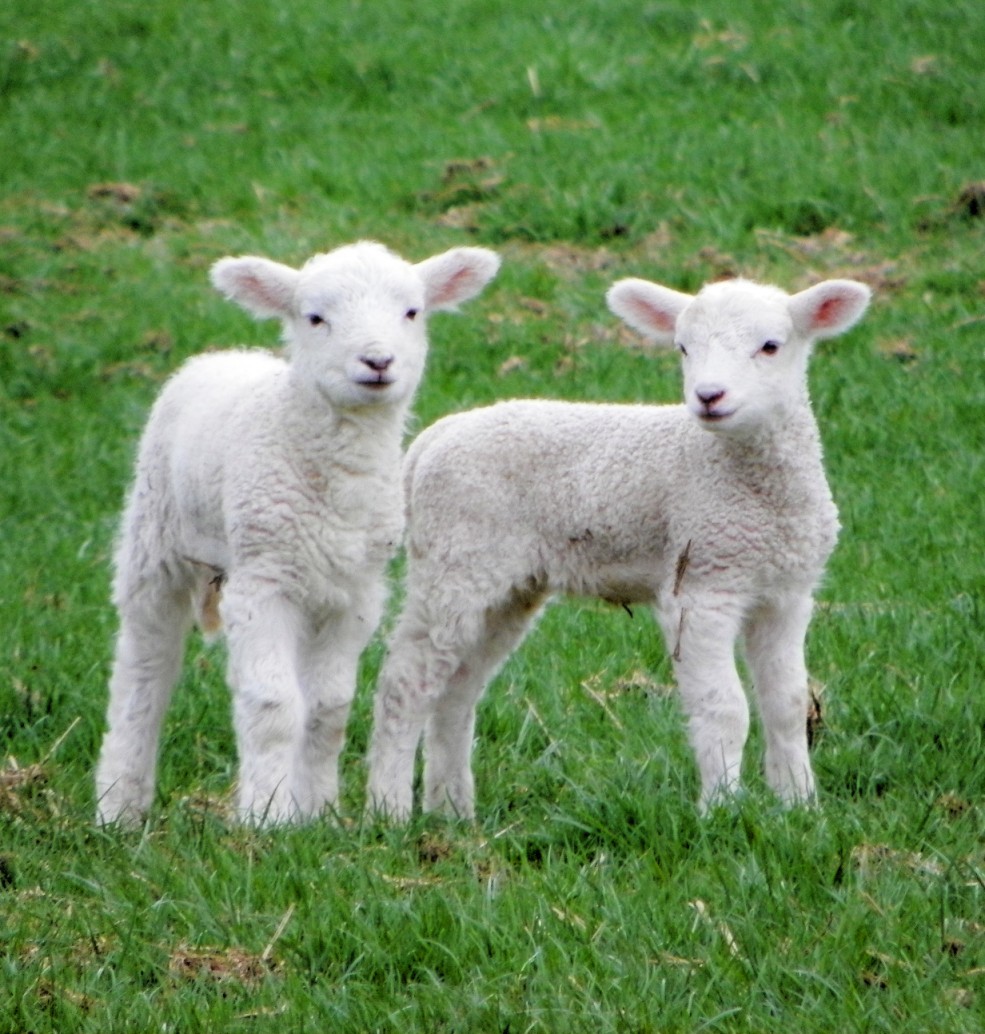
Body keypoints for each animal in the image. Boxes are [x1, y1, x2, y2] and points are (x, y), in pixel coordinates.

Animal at [94, 237, 500, 827]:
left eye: (412, 312)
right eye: (315, 317)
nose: (378, 361)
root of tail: (225, 355)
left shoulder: (355, 594)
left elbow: (328, 708)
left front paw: (318, 813)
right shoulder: (264, 583)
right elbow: (274, 706)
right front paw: (267, 817)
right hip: (156, 538)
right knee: (144, 670)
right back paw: (119, 806)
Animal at [363, 272, 868, 814]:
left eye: (771, 346)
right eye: (683, 347)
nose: (709, 396)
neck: (748, 483)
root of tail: (431, 440)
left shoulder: (787, 593)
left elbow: (788, 703)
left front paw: (799, 805)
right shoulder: (701, 587)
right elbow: (725, 707)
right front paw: (722, 809)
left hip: (506, 584)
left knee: (457, 690)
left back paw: (452, 811)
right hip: (455, 560)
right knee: (406, 682)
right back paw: (389, 808)